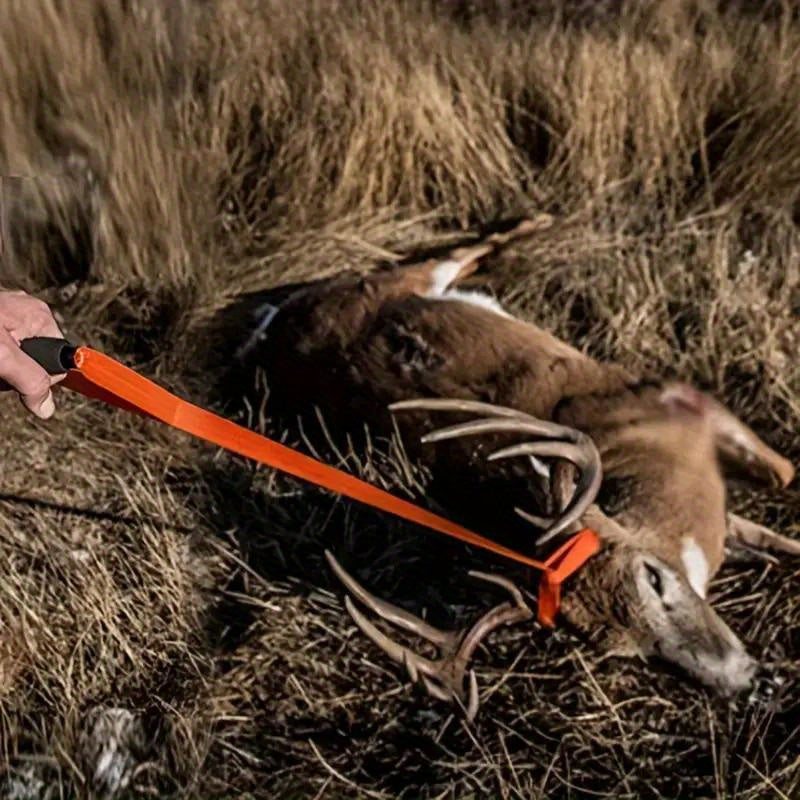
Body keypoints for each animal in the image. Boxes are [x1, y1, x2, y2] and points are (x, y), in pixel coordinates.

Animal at [223, 218, 798, 720]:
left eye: (653, 577)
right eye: (631, 653)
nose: (752, 684)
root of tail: (273, 331)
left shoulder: (677, 397)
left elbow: (783, 478)